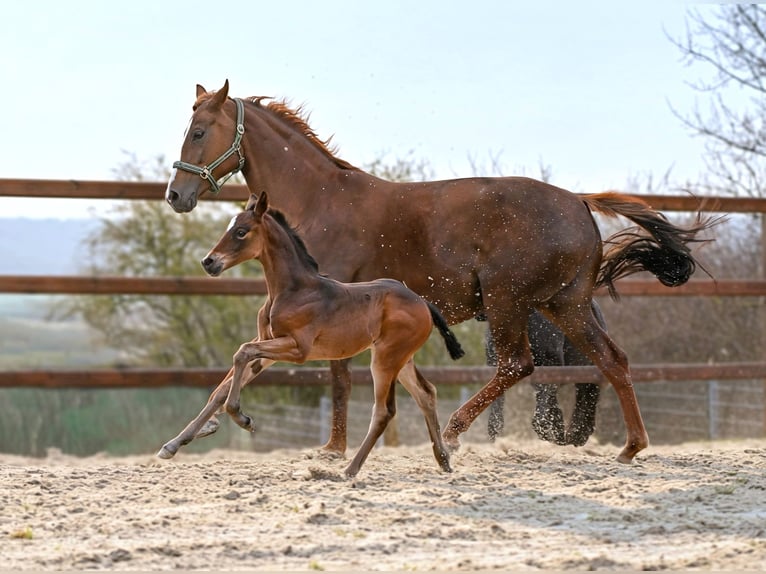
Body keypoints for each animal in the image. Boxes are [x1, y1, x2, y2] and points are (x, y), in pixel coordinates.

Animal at [158, 192, 465, 477]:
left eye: (241, 231)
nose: (208, 262)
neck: (292, 290)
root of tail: (422, 302)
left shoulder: (297, 350)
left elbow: (241, 352)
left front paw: (242, 418)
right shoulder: (267, 345)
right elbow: (222, 386)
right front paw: (174, 444)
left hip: (386, 359)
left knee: (384, 411)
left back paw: (349, 470)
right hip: (400, 359)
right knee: (426, 393)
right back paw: (443, 460)